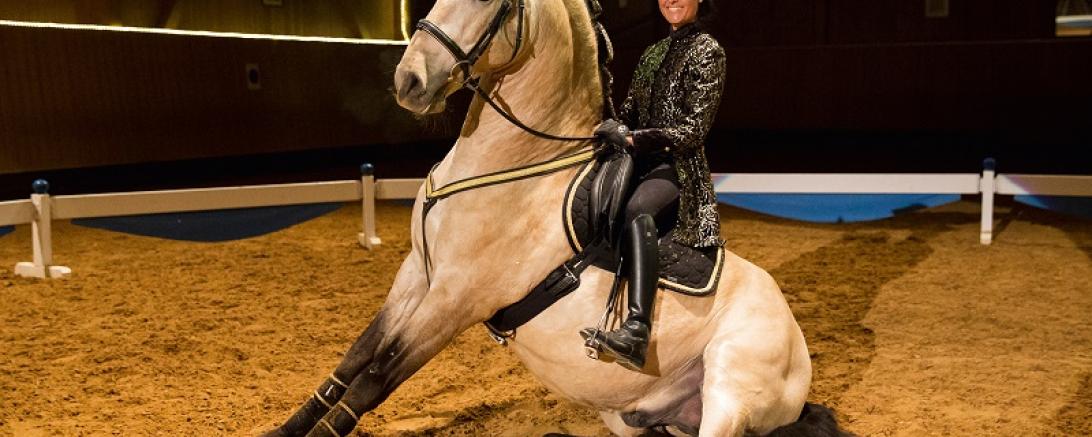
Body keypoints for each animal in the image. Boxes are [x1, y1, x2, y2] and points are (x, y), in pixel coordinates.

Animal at [264, 1, 842, 435]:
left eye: (491, 0)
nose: (410, 79)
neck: (516, 168)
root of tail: (795, 336)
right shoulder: (417, 276)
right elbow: (353, 360)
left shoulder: (455, 300)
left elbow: (373, 379)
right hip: (628, 416)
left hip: (729, 390)